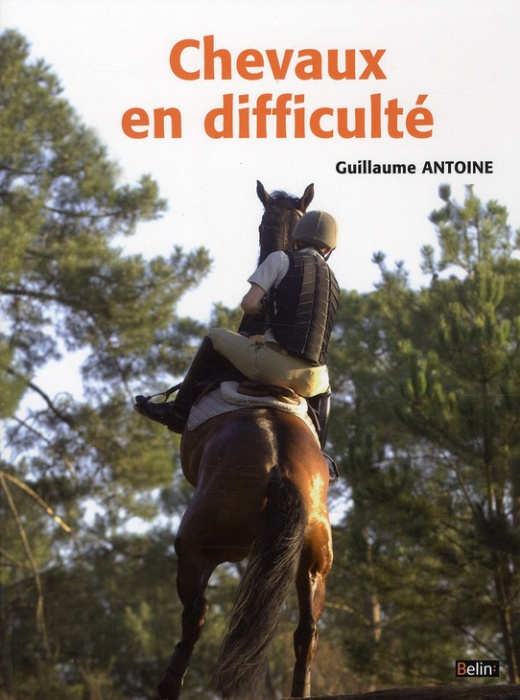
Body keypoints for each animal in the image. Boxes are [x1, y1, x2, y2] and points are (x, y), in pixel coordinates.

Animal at [156, 181, 333, 700]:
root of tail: (283, 470)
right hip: (312, 565)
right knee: (306, 632)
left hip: (203, 546)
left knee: (197, 616)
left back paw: (169, 684)